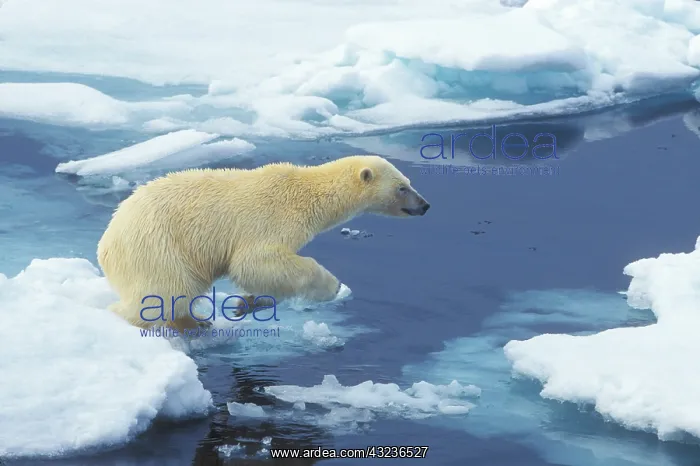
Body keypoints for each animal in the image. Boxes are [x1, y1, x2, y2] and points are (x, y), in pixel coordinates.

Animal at [97, 155, 430, 332]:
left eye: (409, 181)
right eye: (402, 187)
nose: (425, 205)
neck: (305, 193)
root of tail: (106, 244)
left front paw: (247, 303)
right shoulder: (269, 220)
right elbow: (254, 261)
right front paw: (333, 287)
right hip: (157, 247)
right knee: (165, 293)